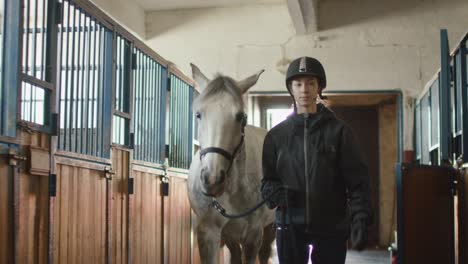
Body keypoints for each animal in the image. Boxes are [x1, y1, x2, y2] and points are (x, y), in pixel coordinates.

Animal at [186, 64, 274, 264]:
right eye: (198, 114)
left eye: (241, 116)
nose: (212, 179)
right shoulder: (208, 233)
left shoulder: (253, 236)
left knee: (265, 253)